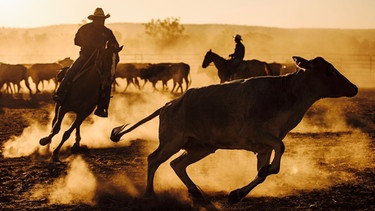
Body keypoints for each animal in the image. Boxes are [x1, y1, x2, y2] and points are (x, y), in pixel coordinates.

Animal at [111, 56, 358, 206]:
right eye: (329, 71)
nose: (354, 87)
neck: (285, 94)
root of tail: (168, 105)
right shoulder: (258, 135)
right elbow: (279, 151)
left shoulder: (263, 148)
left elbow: (264, 172)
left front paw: (236, 194)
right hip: (172, 141)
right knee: (154, 159)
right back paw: (149, 194)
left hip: (202, 147)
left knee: (177, 164)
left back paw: (196, 192)